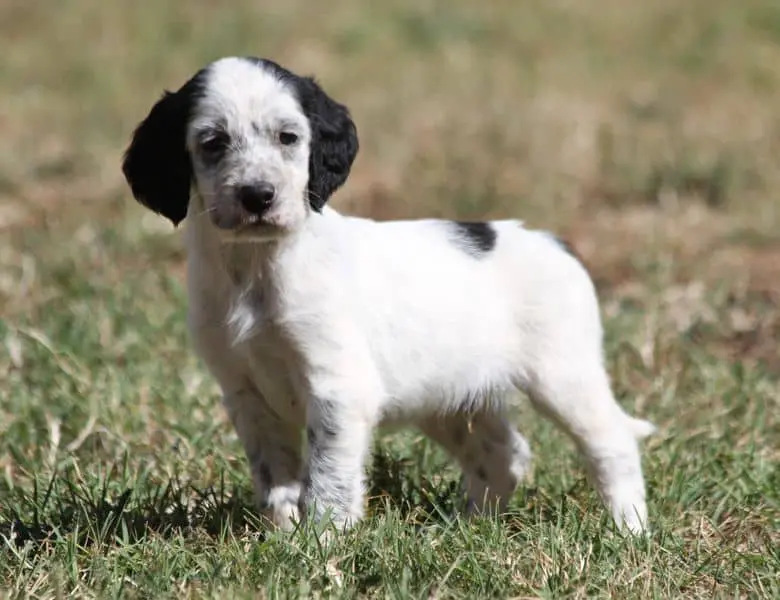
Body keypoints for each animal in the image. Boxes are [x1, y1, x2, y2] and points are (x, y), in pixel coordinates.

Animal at [122, 56, 655, 535]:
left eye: (288, 138)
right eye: (213, 143)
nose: (258, 196)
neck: (255, 268)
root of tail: (553, 241)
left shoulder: (338, 388)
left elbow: (329, 479)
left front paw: (321, 545)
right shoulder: (245, 392)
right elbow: (276, 479)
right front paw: (283, 536)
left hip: (563, 377)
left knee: (611, 442)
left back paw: (628, 529)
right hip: (450, 400)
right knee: (504, 454)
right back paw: (467, 530)